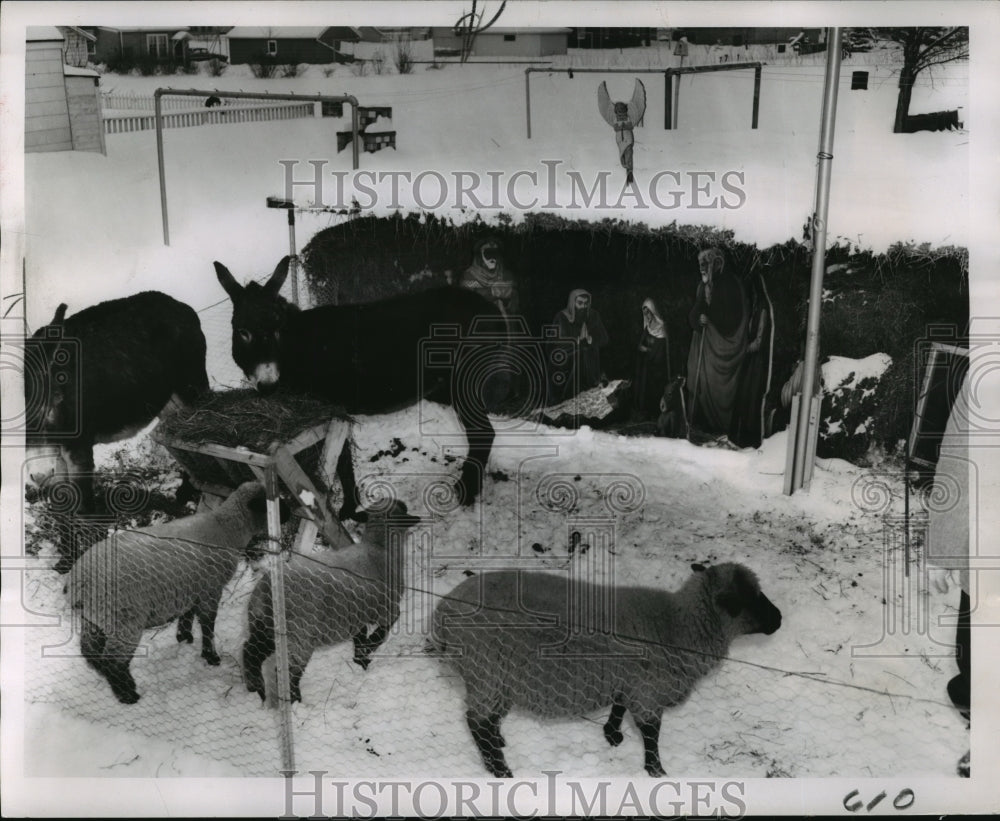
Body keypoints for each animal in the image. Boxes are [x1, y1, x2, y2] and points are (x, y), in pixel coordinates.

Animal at [69, 480, 278, 704]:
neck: (227, 528)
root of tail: (79, 579)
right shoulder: (210, 589)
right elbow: (208, 624)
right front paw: (211, 656)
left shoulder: (192, 587)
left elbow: (188, 613)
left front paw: (184, 636)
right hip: (124, 620)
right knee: (113, 661)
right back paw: (128, 695)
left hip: (95, 617)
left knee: (90, 650)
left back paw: (106, 676)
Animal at [243, 500, 422, 704]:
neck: (380, 547)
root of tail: (265, 592)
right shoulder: (385, 608)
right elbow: (383, 632)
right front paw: (369, 648)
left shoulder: (356, 613)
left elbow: (359, 638)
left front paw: (360, 659)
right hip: (299, 638)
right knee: (289, 671)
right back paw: (296, 702)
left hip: (263, 629)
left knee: (250, 651)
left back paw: (257, 690)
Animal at [430, 560, 780, 780]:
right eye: (750, 598)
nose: (778, 619)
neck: (678, 625)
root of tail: (442, 609)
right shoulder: (649, 691)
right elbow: (651, 734)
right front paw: (656, 771)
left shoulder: (630, 680)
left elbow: (619, 704)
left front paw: (612, 734)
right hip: (486, 670)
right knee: (475, 722)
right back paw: (499, 769)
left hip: (498, 677)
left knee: (487, 719)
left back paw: (498, 744)